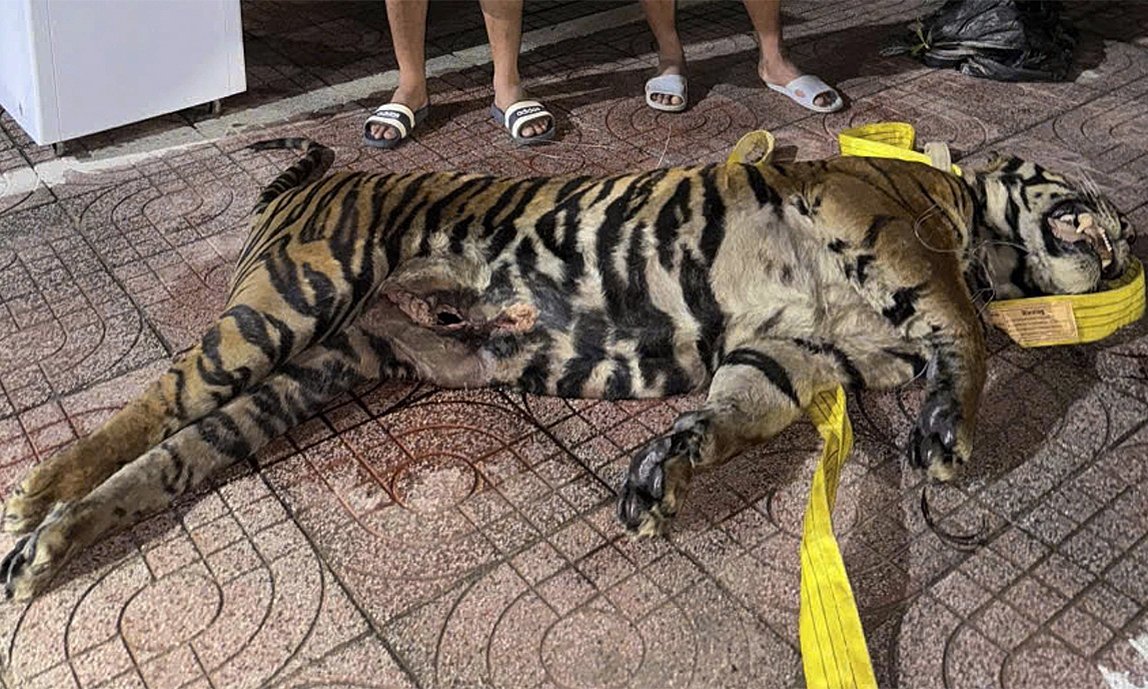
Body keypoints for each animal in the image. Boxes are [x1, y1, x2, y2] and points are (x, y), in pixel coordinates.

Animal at [0, 136, 1137, 601]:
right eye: (1093, 204)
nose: (1125, 243)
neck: (982, 240)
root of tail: (314, 183)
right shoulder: (886, 229)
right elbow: (968, 333)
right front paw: (951, 426)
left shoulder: (786, 355)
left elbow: (720, 415)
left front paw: (664, 471)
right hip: (286, 301)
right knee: (153, 401)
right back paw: (37, 492)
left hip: (319, 366)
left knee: (174, 451)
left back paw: (41, 553)